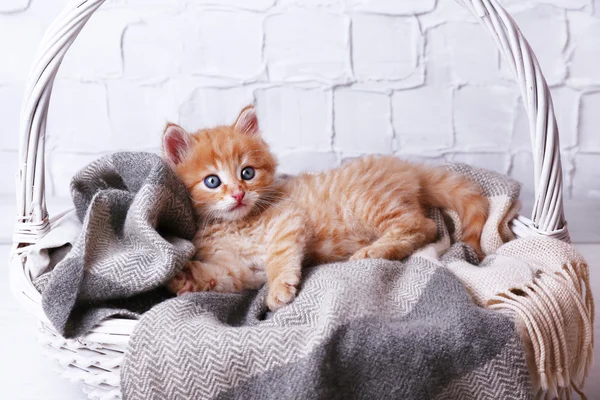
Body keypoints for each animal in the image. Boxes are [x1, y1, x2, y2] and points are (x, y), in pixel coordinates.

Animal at [163, 105, 488, 310]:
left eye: (247, 173)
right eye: (213, 181)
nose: (239, 194)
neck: (239, 224)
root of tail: (408, 168)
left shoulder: (288, 220)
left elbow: (280, 256)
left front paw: (279, 288)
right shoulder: (243, 268)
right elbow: (222, 275)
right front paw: (183, 277)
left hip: (367, 201)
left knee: (423, 225)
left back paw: (375, 251)